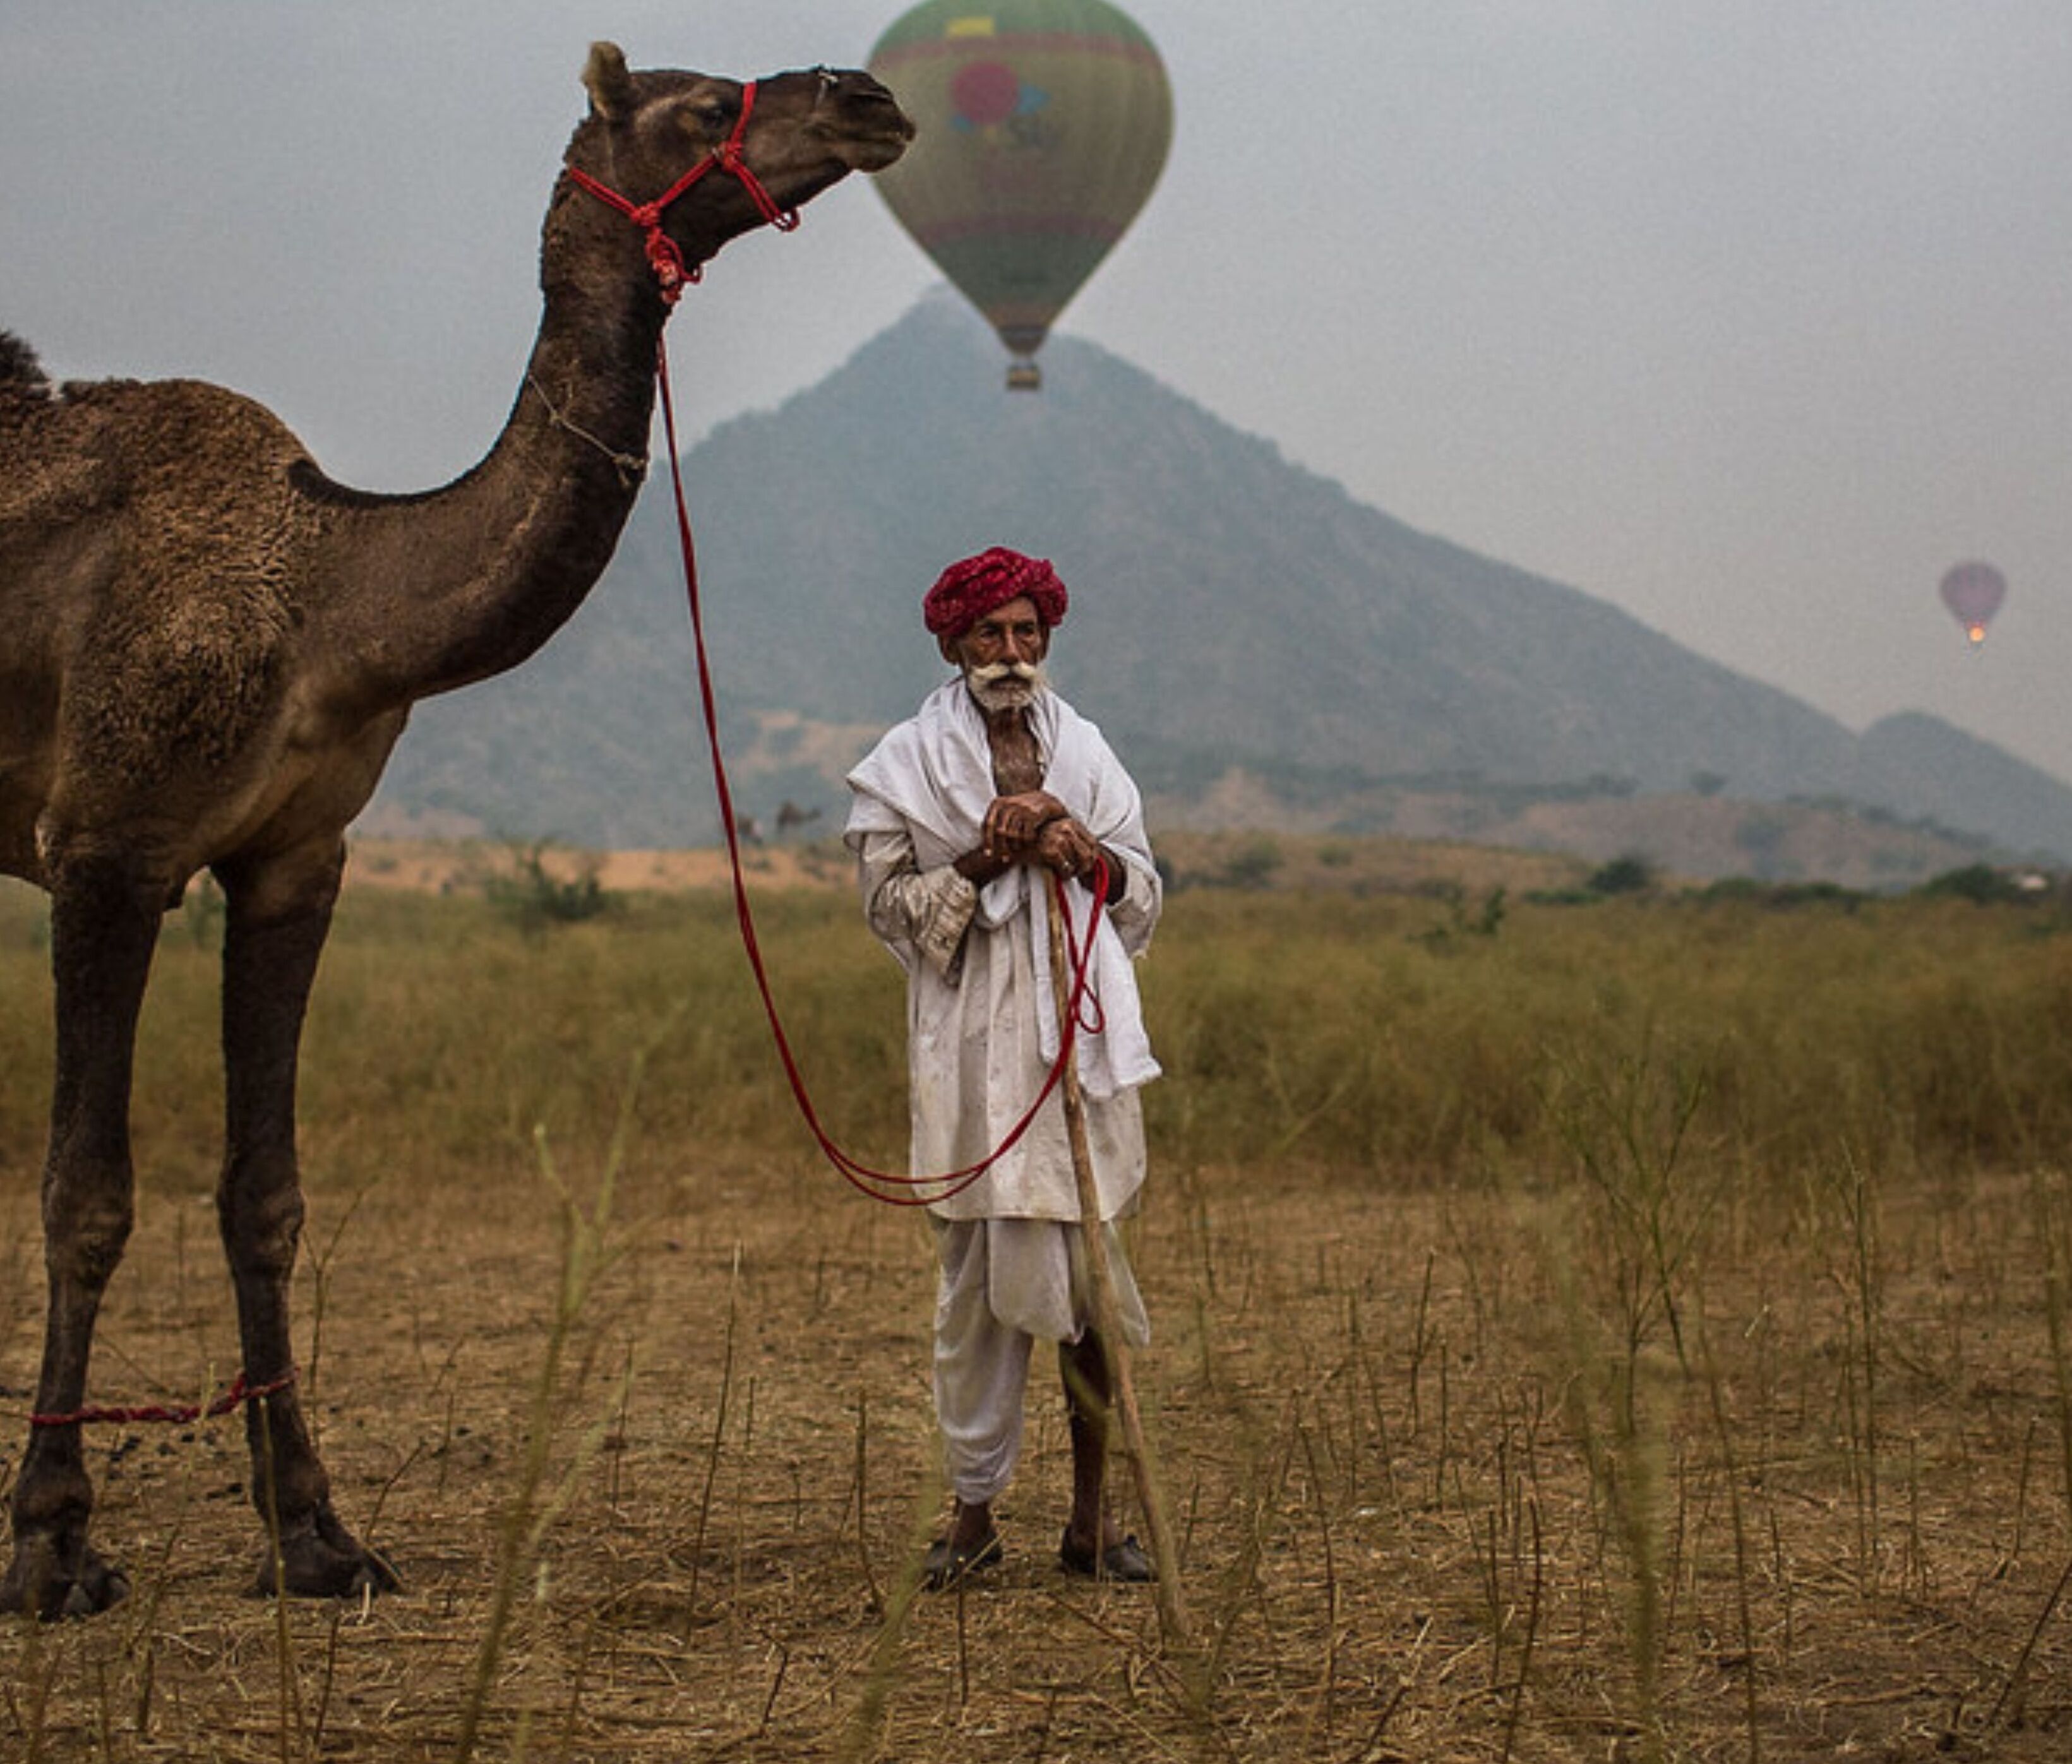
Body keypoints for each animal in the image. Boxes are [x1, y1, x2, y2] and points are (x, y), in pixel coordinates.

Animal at [0, 43, 911, 1618]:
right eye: (693, 102)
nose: (866, 95)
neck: (339, 598)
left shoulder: (294, 860)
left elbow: (263, 1194)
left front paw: (317, 1532)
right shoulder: (107, 841)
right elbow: (86, 1191)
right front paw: (55, 1542)